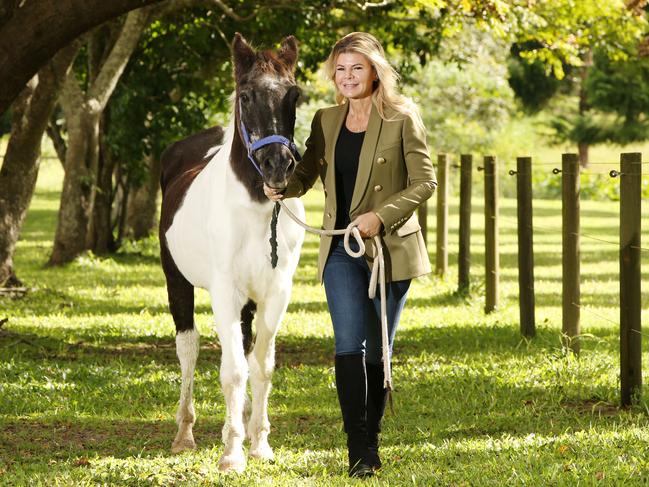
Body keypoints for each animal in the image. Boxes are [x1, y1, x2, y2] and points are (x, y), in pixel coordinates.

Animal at [161, 33, 306, 472]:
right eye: (245, 95)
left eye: (294, 95)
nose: (278, 166)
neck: (255, 208)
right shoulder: (225, 293)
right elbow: (233, 372)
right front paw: (231, 453)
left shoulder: (276, 293)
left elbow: (261, 366)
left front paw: (258, 443)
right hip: (178, 282)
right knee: (189, 349)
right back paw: (185, 433)